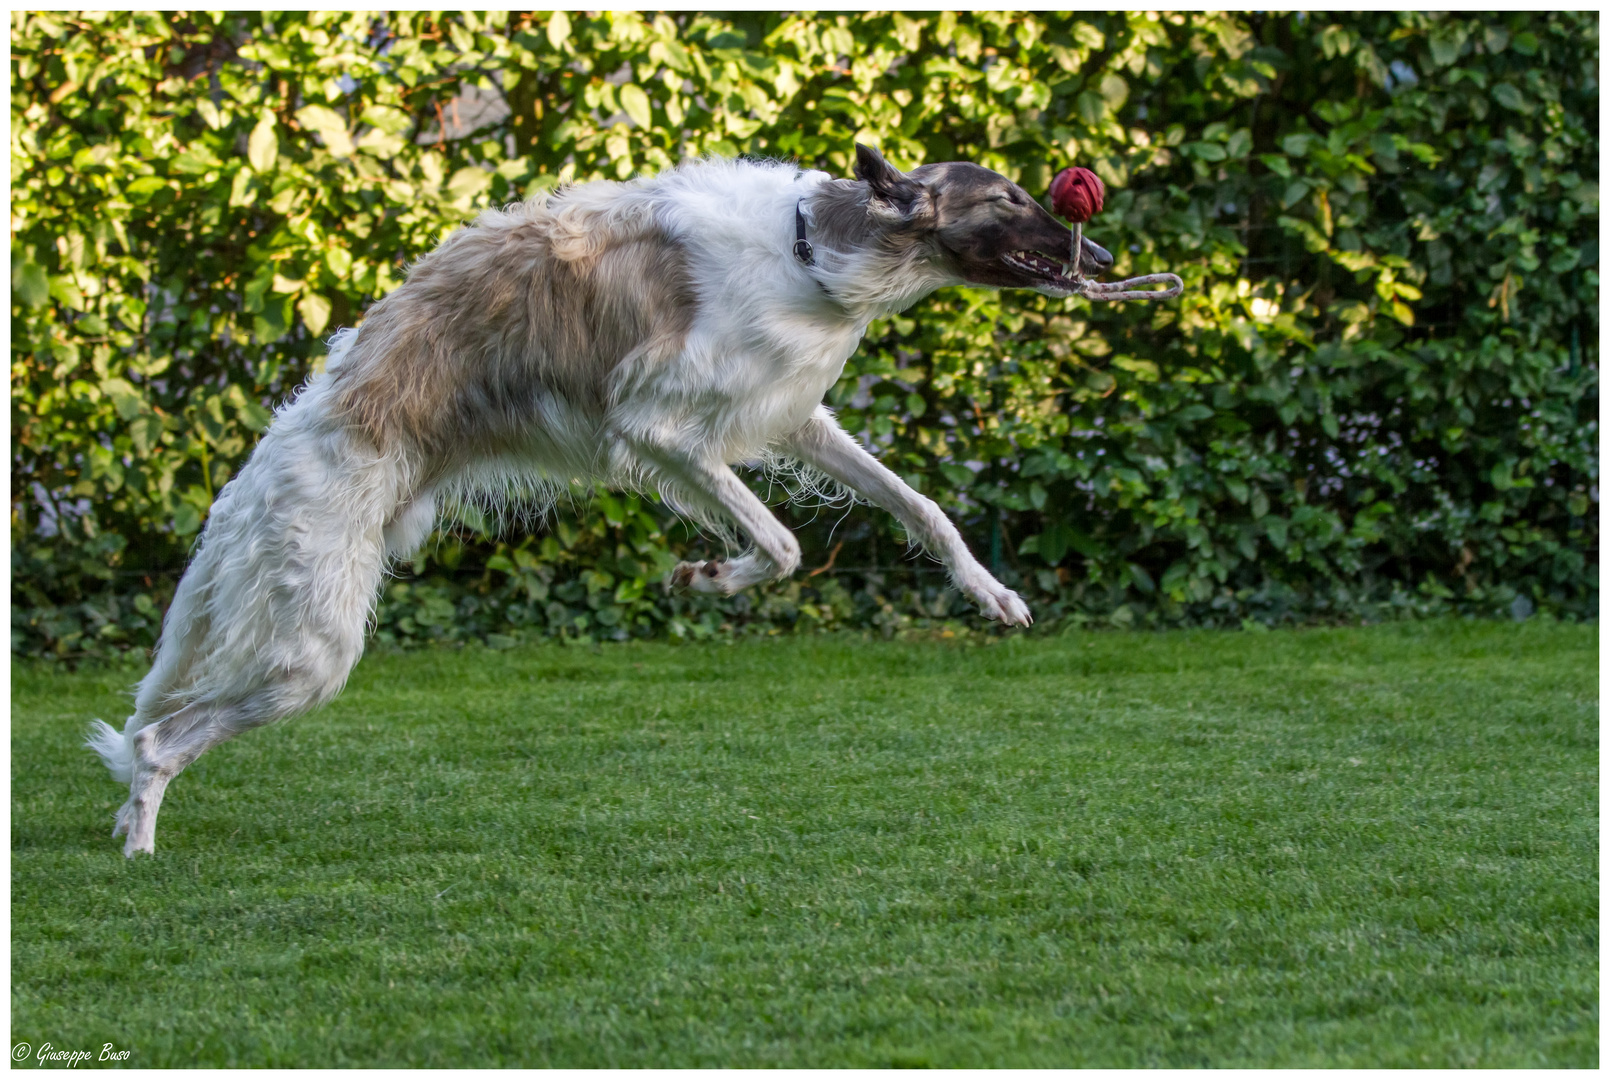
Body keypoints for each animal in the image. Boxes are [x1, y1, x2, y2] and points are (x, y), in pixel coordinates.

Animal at [91, 141, 1120, 856]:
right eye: (1009, 198)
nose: (1106, 255)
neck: (810, 251)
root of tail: (248, 484)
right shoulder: (656, 429)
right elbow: (783, 545)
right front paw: (706, 577)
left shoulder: (790, 415)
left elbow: (922, 509)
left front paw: (993, 594)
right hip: (311, 642)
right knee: (159, 741)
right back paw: (140, 847)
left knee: (156, 731)